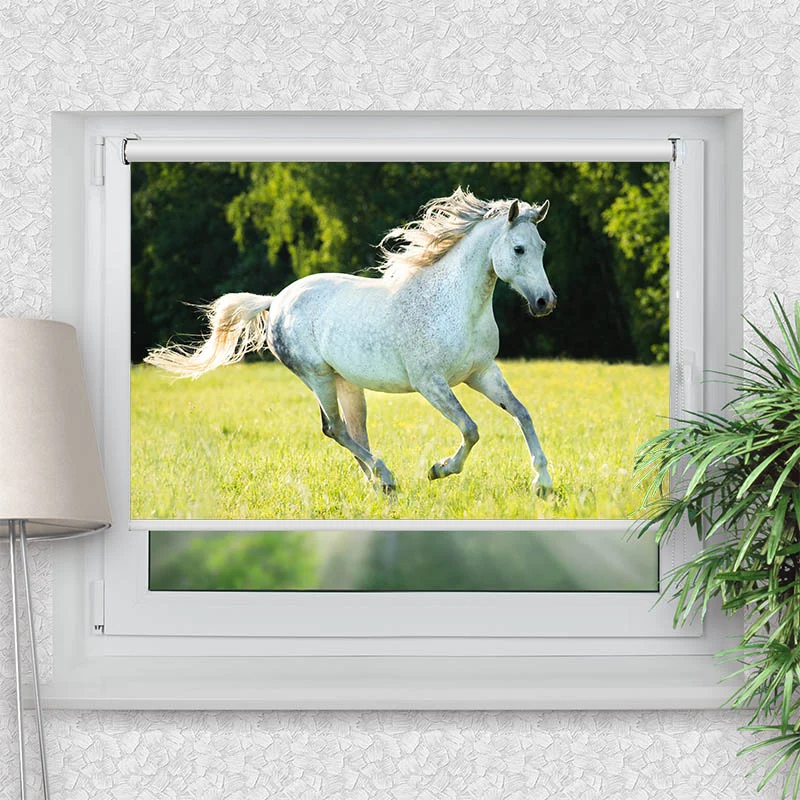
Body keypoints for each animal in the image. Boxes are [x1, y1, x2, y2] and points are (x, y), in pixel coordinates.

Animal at [145, 187, 557, 494]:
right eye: (518, 249)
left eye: (542, 247)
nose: (545, 302)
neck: (455, 304)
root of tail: (276, 301)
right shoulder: (431, 383)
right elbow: (471, 429)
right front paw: (440, 469)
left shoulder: (481, 372)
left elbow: (522, 413)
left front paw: (543, 483)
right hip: (318, 377)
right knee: (335, 429)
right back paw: (386, 476)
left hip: (346, 382)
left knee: (354, 431)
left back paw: (379, 484)